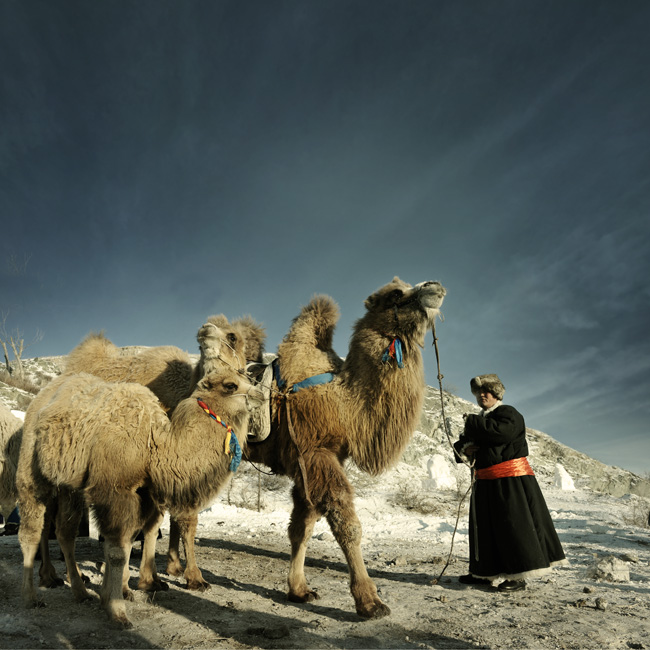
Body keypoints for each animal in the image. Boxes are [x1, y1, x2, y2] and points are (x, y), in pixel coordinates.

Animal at [16, 368, 262, 624]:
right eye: (230, 385)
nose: (261, 395)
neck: (153, 444)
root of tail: (40, 399)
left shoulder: (142, 493)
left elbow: (128, 541)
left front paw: (116, 594)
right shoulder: (114, 490)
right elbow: (117, 551)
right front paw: (117, 610)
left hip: (69, 486)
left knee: (65, 533)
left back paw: (80, 592)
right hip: (31, 469)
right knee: (31, 532)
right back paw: (32, 597)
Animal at [60, 314, 264, 588]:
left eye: (232, 337)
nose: (205, 329)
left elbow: (173, 520)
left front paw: (173, 568)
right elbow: (172, 520)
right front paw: (191, 577)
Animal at [243, 274, 446, 616]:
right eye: (395, 293)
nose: (435, 286)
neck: (343, 400)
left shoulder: (311, 463)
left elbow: (302, 527)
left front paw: (299, 590)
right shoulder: (315, 452)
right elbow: (345, 521)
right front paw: (370, 601)